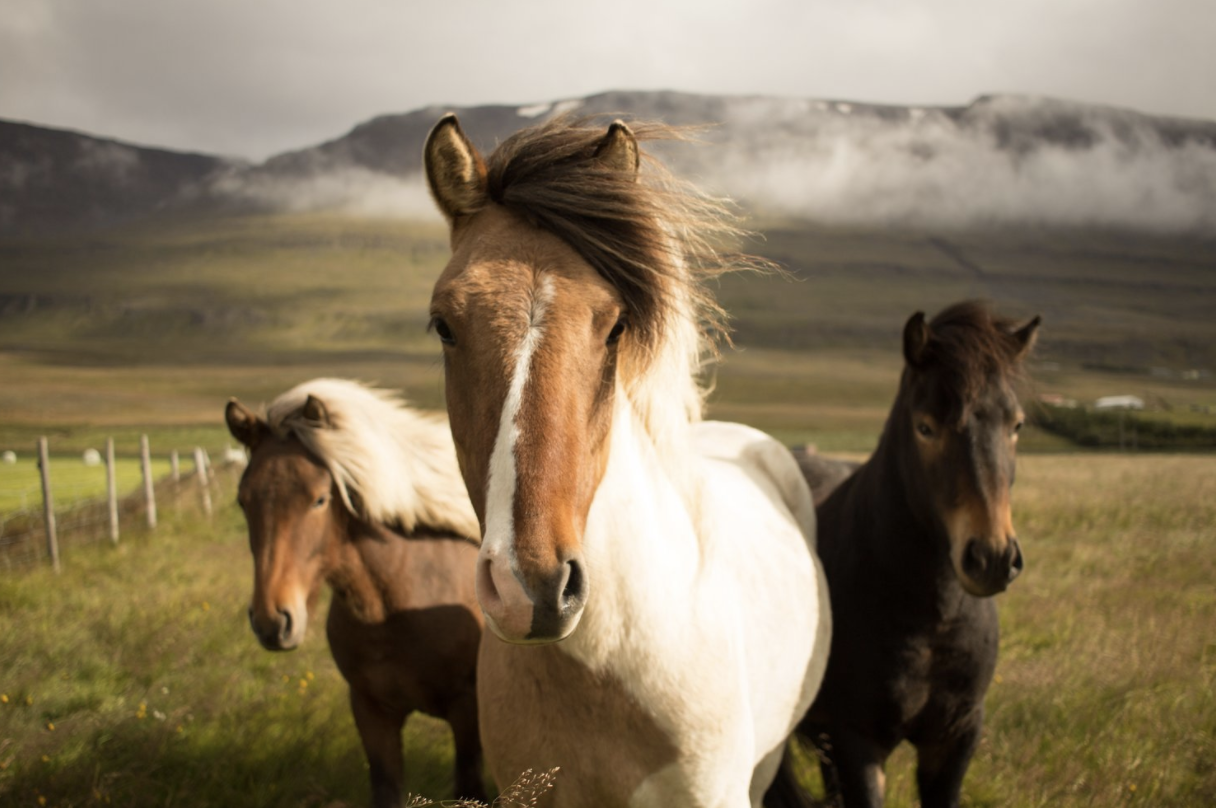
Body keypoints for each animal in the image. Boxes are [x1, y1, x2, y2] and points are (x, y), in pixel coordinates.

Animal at [224, 378, 487, 807]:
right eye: (243, 500)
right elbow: (386, 788)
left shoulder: (467, 711)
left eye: (319, 499)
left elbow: (470, 787)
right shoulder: (370, 711)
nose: (271, 621)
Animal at [796, 302, 1040, 808]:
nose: (991, 558)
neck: (933, 618)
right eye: (925, 427)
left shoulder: (955, 739)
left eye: (1017, 425)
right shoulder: (859, 741)